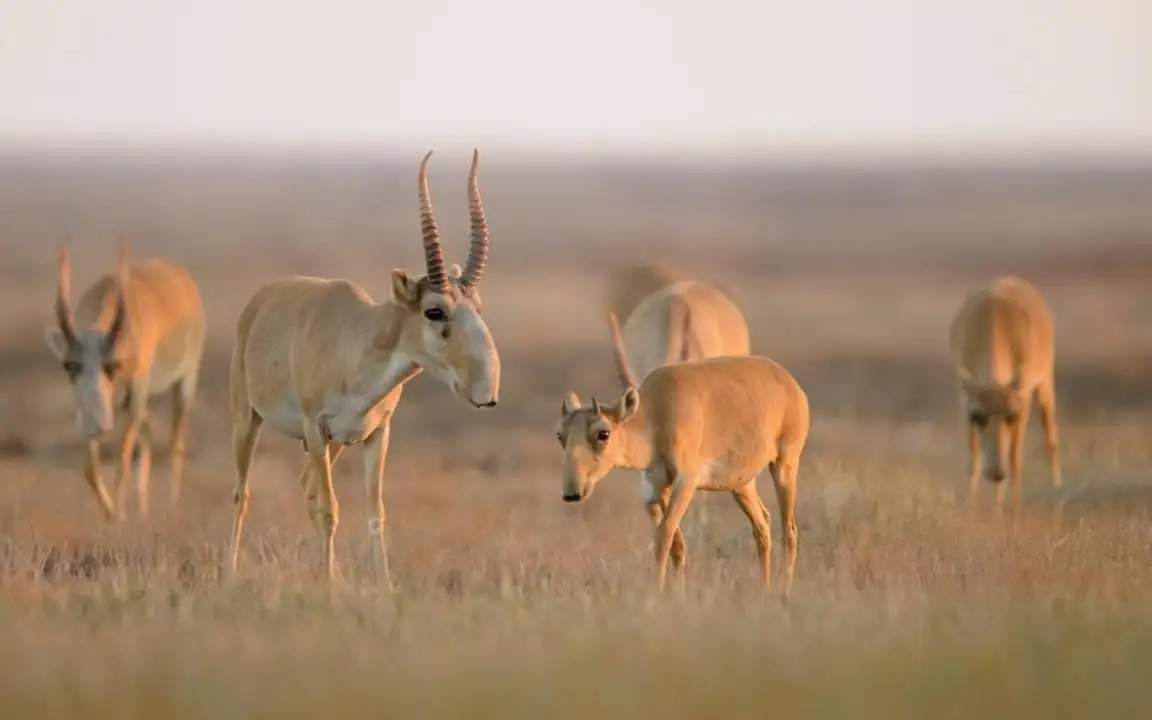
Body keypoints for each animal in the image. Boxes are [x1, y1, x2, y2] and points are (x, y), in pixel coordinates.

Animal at [46, 244, 207, 518]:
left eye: (114, 365)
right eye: (69, 365)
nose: (97, 425)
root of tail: (183, 279)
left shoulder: (135, 396)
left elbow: (122, 461)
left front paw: (119, 516)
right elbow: (90, 468)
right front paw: (112, 515)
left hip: (184, 383)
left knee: (175, 443)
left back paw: (172, 509)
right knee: (148, 431)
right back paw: (144, 512)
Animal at [231, 152, 502, 585]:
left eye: (477, 305)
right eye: (434, 310)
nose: (487, 390)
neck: (357, 340)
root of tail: (260, 300)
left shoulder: (376, 435)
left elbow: (376, 513)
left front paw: (383, 585)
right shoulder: (316, 429)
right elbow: (329, 510)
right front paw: (329, 587)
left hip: (336, 445)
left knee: (306, 487)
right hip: (248, 420)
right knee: (243, 493)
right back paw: (231, 571)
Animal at [557, 338, 811, 594]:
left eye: (604, 433)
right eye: (561, 435)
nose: (572, 493)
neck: (656, 413)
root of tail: (789, 381)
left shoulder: (685, 483)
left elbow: (664, 534)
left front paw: (657, 591)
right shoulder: (656, 488)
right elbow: (676, 543)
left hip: (785, 465)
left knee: (789, 532)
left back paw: (784, 589)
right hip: (741, 484)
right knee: (762, 526)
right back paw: (764, 587)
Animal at [944, 275, 1059, 504]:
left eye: (1011, 415)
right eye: (978, 416)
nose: (996, 473)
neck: (994, 320)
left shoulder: (1023, 402)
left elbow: (1015, 460)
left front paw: (1015, 509)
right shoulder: (965, 403)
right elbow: (973, 461)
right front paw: (970, 506)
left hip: (1045, 387)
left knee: (1051, 440)